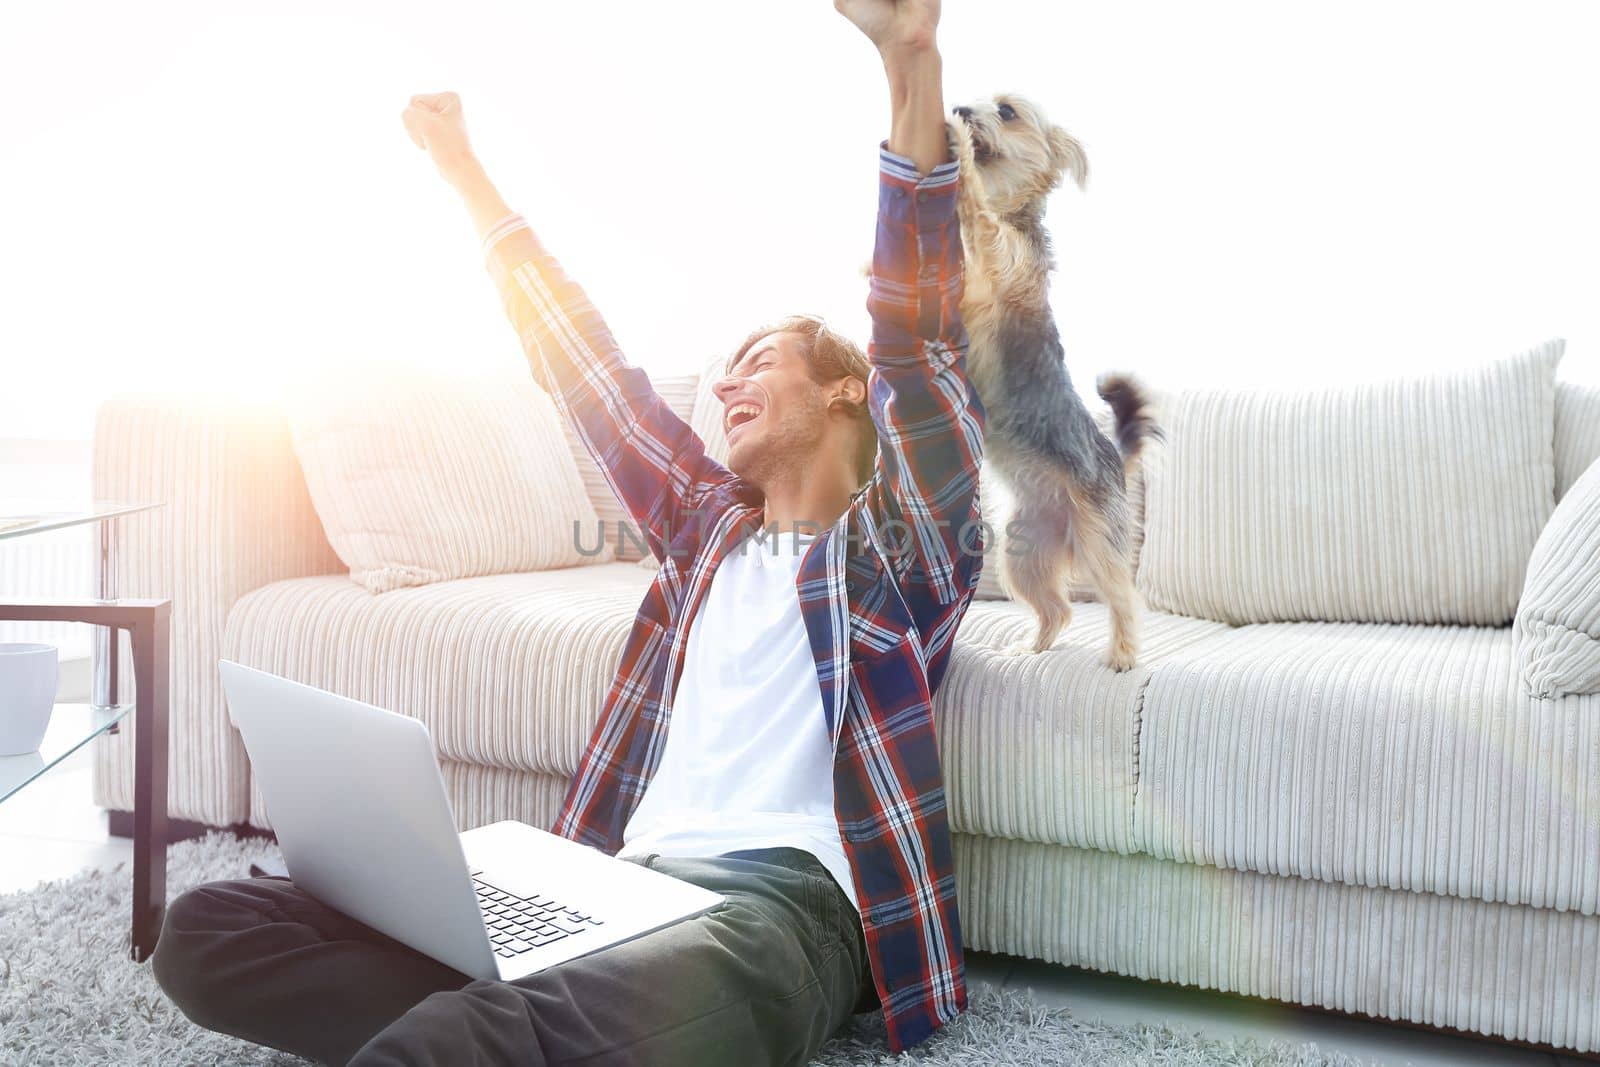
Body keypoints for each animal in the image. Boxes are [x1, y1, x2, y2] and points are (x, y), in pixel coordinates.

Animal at [947, 95, 1164, 671]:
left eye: (1006, 111)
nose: (960, 107)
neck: (1014, 213)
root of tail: (1115, 458)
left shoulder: (997, 253)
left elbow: (974, 213)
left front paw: (958, 149)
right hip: (1022, 549)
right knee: (1058, 609)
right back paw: (1031, 648)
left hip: (1097, 541)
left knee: (1124, 597)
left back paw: (1122, 654)